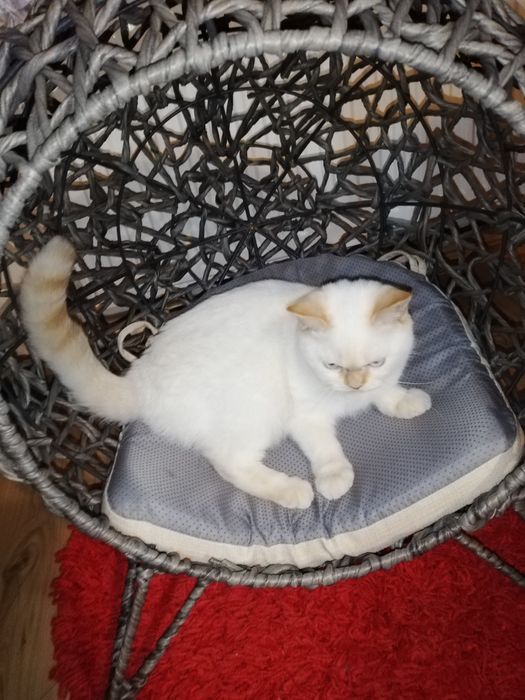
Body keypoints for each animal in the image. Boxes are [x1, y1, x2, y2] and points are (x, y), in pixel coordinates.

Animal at [20, 237, 431, 509]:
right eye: (331, 365)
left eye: (376, 362)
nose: (355, 384)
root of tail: (141, 381)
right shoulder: (305, 416)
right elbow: (324, 446)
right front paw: (334, 476)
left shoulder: (380, 378)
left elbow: (387, 390)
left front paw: (404, 400)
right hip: (256, 409)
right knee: (229, 463)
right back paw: (291, 490)